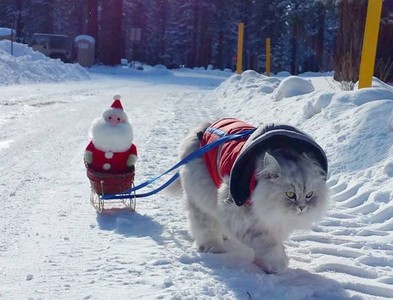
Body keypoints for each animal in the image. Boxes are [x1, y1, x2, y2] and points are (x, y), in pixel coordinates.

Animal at [178, 120, 328, 274]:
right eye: (290, 194)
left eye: (309, 195)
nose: (302, 207)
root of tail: (203, 127)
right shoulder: (240, 216)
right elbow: (268, 244)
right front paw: (277, 264)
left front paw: (264, 264)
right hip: (202, 199)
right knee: (205, 227)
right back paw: (214, 248)